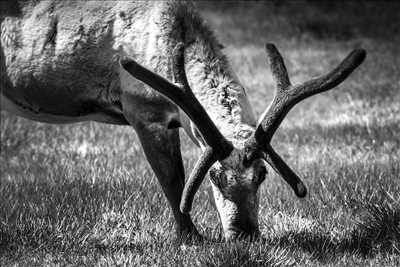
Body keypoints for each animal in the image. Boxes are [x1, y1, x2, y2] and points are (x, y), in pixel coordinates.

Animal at [0, 0, 366, 243]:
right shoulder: (143, 110)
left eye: (262, 175)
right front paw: (190, 238)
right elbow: (173, 182)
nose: (244, 235)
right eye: (214, 176)